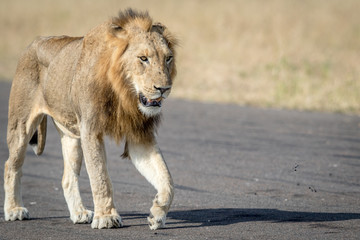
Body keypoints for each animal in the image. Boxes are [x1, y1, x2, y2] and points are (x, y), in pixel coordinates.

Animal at [2, 9, 177, 230]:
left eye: (168, 58)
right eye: (143, 58)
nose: (164, 88)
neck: (124, 93)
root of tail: (35, 41)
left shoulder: (140, 135)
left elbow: (167, 179)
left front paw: (157, 214)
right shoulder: (91, 129)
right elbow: (100, 176)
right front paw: (107, 217)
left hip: (71, 135)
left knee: (67, 178)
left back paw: (79, 213)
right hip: (21, 126)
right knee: (11, 165)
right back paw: (14, 210)